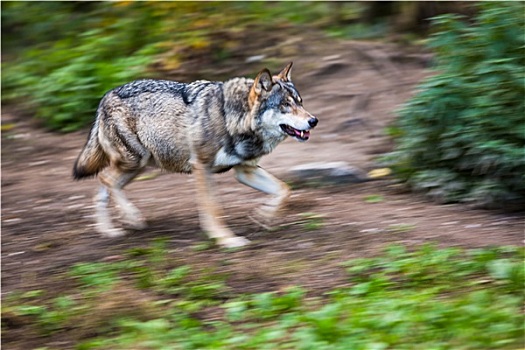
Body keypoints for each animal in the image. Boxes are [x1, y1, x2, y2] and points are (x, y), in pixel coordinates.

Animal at [72, 63, 320, 249]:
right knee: (105, 180)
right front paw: (226, 240)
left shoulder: (245, 171)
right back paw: (131, 218)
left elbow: (284, 190)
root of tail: (105, 97)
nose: (313, 121)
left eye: (300, 102)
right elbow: (214, 209)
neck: (231, 118)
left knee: (104, 186)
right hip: (135, 161)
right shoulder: (201, 166)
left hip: (138, 166)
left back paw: (109, 230)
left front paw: (264, 216)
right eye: (285, 105)